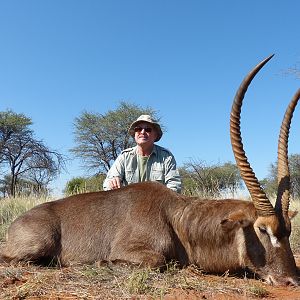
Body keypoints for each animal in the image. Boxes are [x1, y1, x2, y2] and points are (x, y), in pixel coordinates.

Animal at [0, 55, 300, 286]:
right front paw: (101, 262)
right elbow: (157, 261)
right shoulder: (136, 251)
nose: (291, 280)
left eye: (288, 230)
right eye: (262, 229)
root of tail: (17, 222)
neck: (177, 218)